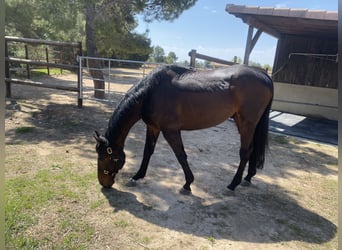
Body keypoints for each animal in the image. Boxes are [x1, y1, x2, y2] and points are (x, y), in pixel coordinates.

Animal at [95, 64, 274, 193]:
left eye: (103, 157)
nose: (104, 184)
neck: (151, 92)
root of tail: (263, 74)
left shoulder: (170, 131)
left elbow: (181, 155)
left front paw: (187, 184)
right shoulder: (153, 128)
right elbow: (148, 152)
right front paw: (137, 176)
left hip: (247, 123)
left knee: (245, 152)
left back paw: (232, 185)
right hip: (244, 122)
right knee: (252, 150)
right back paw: (248, 177)